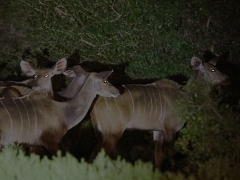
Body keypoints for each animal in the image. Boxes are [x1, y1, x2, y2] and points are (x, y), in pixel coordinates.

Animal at [88, 56, 229, 167]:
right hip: (113, 132)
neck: (184, 99)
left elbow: (157, 157)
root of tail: (95, 105)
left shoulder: (158, 131)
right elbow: (172, 155)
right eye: (212, 69)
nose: (227, 78)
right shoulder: (171, 130)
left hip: (100, 134)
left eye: (216, 67)